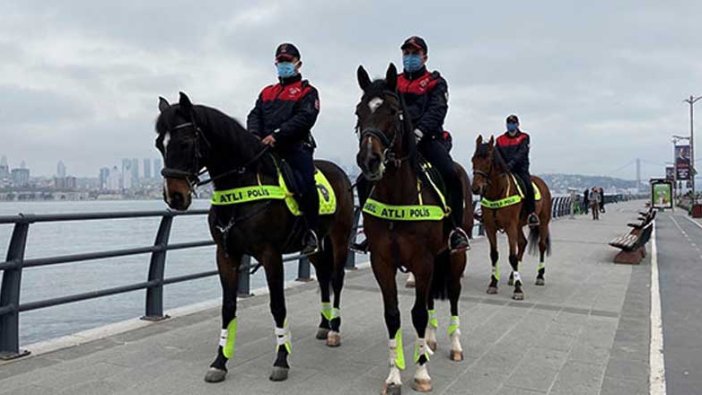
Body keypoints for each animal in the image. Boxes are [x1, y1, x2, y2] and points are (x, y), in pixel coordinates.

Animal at [158, 92, 358, 384]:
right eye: (159, 145)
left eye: (185, 143)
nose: (174, 196)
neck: (243, 185)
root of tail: (342, 173)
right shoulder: (226, 254)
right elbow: (228, 307)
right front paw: (220, 362)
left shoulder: (270, 254)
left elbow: (278, 306)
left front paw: (282, 360)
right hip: (316, 244)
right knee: (323, 276)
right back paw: (323, 324)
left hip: (340, 237)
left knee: (337, 278)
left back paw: (334, 329)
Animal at [358, 63, 472, 394]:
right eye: (359, 111)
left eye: (394, 111)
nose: (369, 160)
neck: (398, 193)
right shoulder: (382, 261)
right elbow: (393, 316)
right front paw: (394, 375)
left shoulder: (422, 260)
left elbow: (418, 314)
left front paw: (421, 373)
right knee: (432, 296)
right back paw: (430, 342)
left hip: (454, 256)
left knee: (454, 294)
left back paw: (454, 344)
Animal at [470, 136, 552, 300]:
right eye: (473, 159)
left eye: (488, 160)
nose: (475, 188)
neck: (497, 193)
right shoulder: (490, 227)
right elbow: (494, 255)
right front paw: (493, 283)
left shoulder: (510, 227)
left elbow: (512, 256)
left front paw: (518, 289)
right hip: (519, 225)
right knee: (522, 243)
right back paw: (512, 276)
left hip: (542, 222)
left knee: (541, 245)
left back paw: (540, 276)